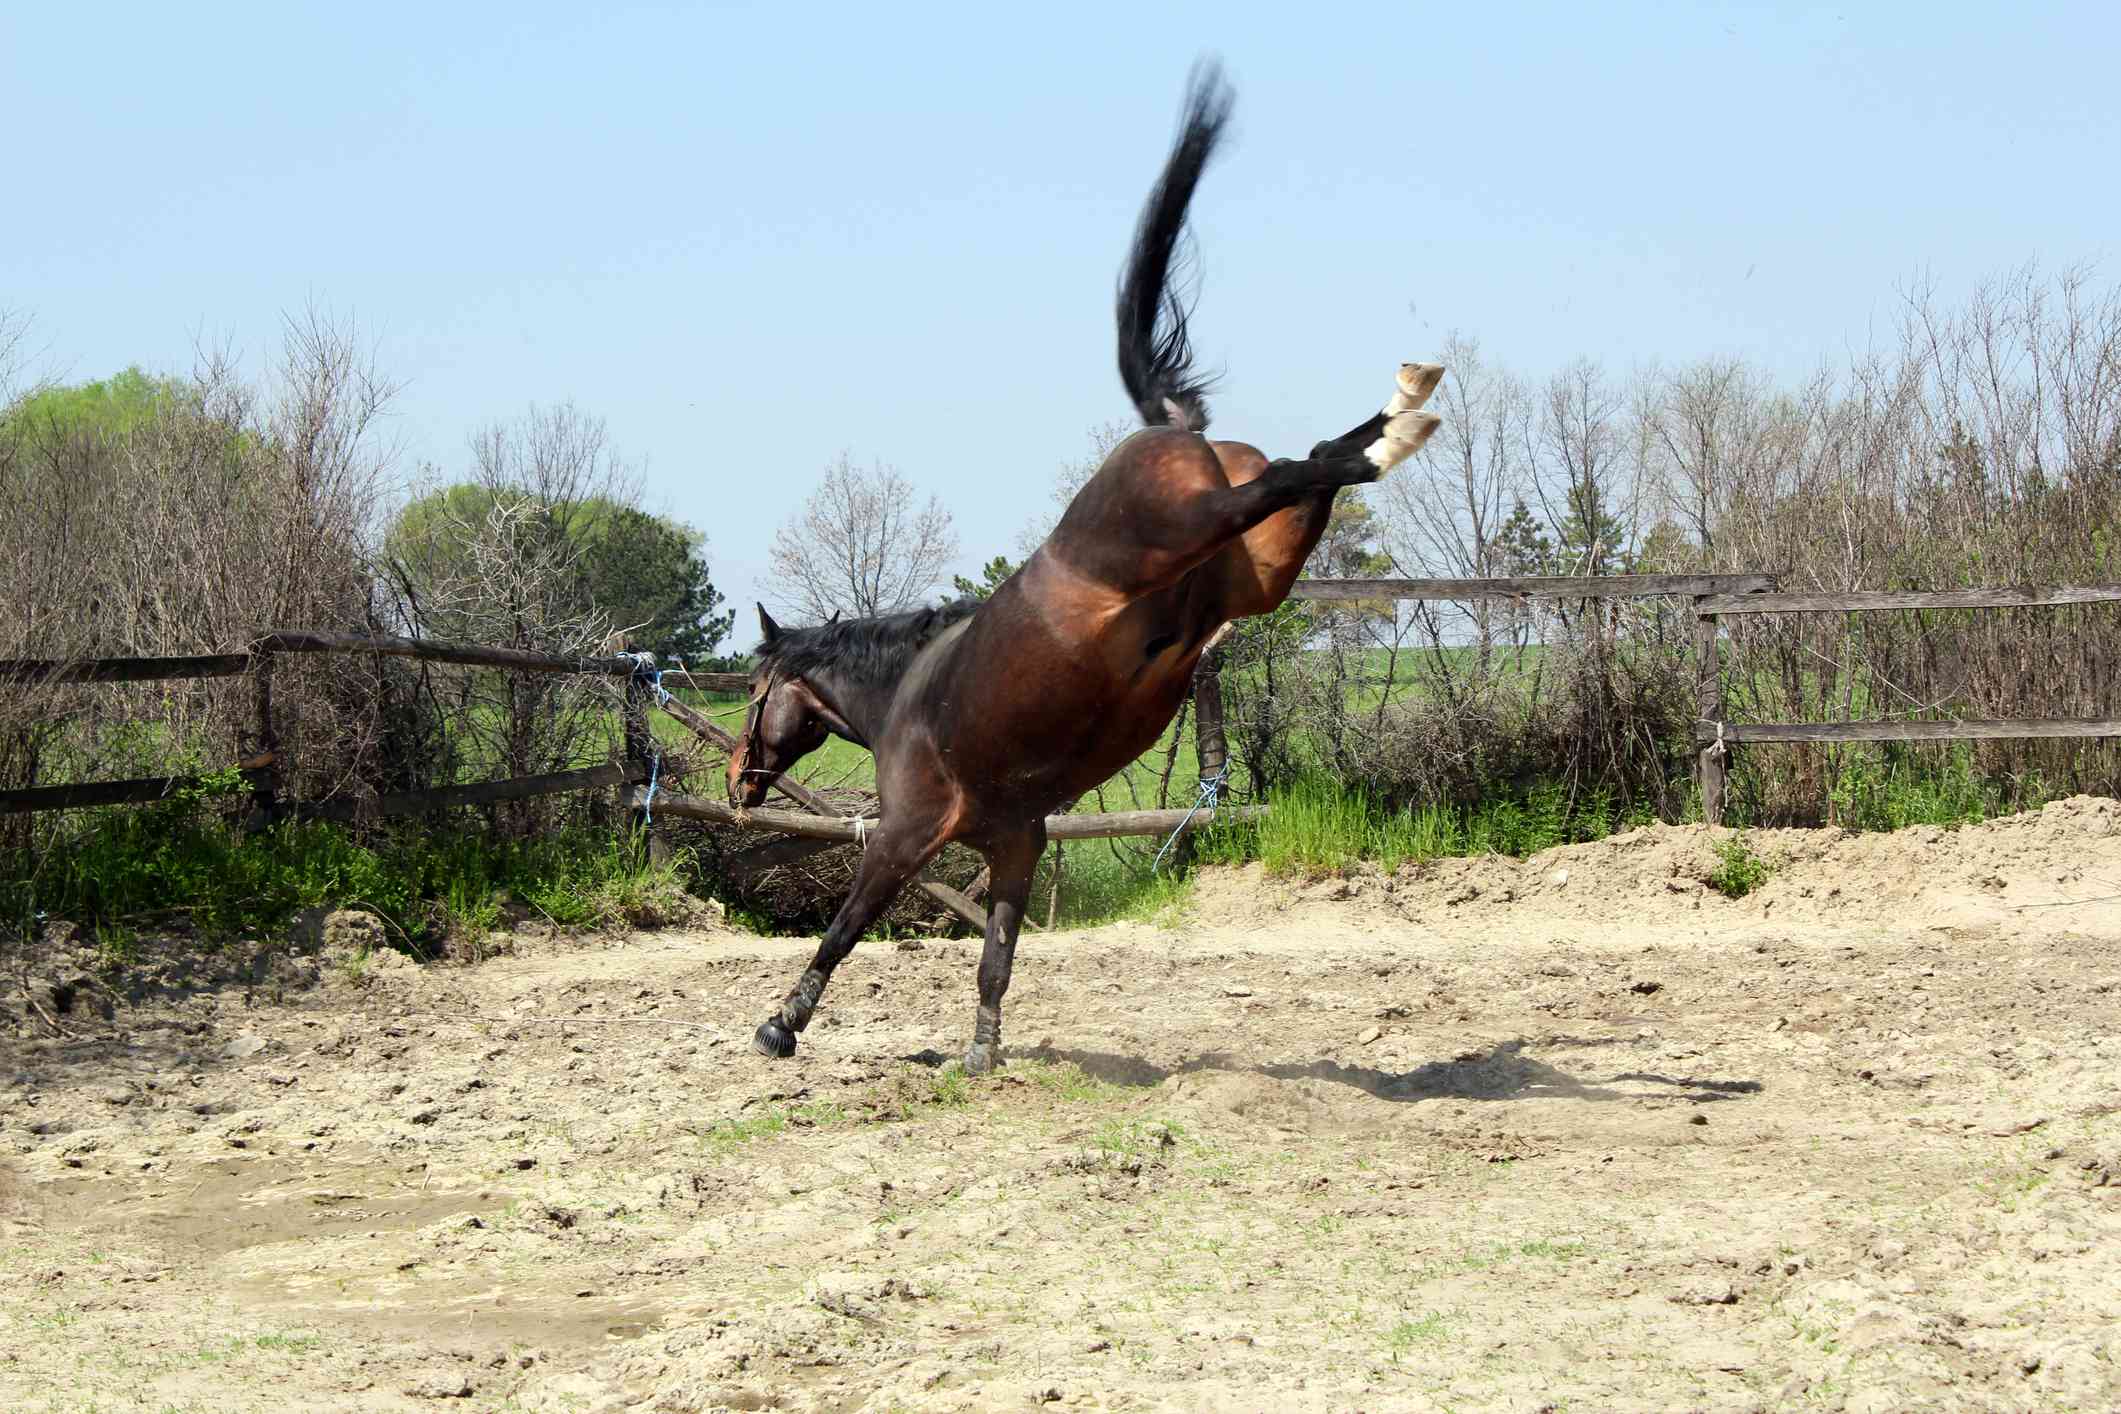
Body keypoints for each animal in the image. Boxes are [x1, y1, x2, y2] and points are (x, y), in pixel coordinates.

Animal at [729, 58, 1442, 1072]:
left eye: (755, 694)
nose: (739, 784)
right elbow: (994, 958)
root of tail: (1167, 429)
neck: (905, 694)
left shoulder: (906, 835)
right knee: (1311, 467)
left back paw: (1403, 422)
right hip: (1261, 576)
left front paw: (780, 1026)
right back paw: (1403, 404)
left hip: (1189, 528)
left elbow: (844, 928)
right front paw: (980, 1057)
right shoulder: (1016, 842)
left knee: (1302, 470)